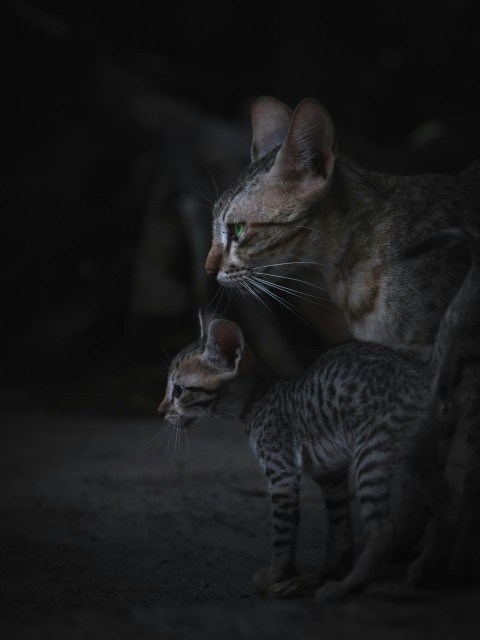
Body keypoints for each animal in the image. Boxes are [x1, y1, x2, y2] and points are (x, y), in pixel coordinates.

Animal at [159, 230, 478, 600]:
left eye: (178, 390)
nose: (161, 411)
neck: (261, 399)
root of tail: (425, 373)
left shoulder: (283, 473)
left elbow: (283, 536)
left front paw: (278, 577)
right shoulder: (332, 475)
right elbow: (339, 533)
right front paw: (327, 570)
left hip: (371, 452)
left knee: (385, 528)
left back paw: (346, 587)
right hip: (417, 454)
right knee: (450, 504)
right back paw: (425, 570)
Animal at [202, 96, 480, 580]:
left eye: (236, 231)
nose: (206, 269)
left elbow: (456, 475)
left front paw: (446, 554)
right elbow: (421, 470)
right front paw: (414, 546)